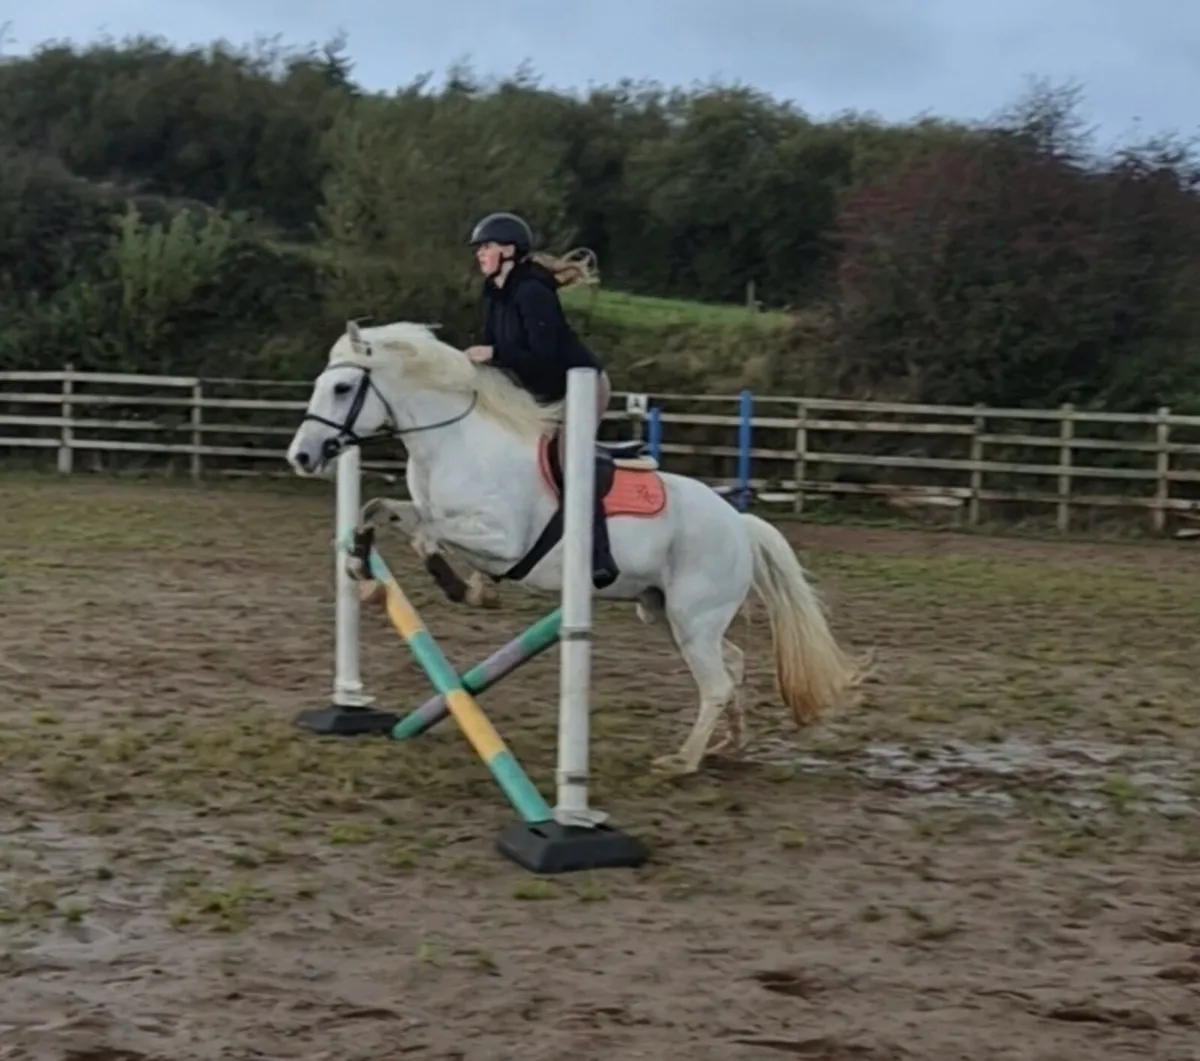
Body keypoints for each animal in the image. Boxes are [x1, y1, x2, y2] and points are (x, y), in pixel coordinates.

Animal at [285, 320, 867, 775]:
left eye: (342, 388)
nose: (302, 456)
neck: (455, 445)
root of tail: (739, 523)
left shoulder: (501, 541)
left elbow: (431, 536)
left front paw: (465, 589)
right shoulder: (429, 512)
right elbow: (378, 510)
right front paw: (362, 570)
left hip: (692, 617)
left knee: (717, 683)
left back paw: (682, 760)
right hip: (665, 614)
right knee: (734, 664)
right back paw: (729, 744)